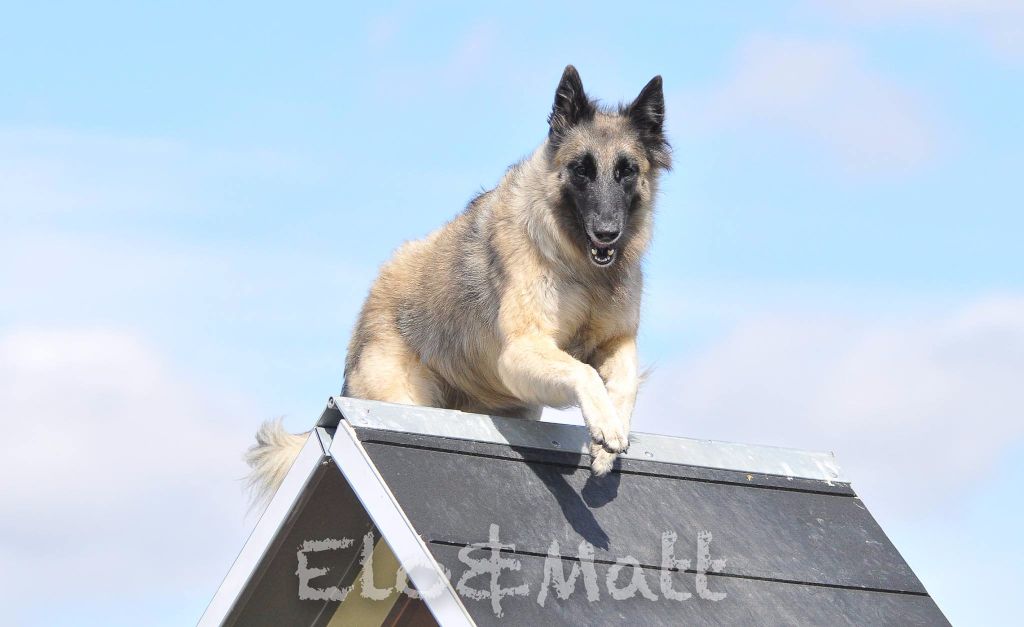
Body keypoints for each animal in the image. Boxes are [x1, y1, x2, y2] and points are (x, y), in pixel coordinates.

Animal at [246, 65, 670, 503]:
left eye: (626, 171)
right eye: (581, 169)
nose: (606, 233)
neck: (582, 269)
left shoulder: (617, 341)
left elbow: (624, 383)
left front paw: (608, 438)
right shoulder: (520, 352)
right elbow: (584, 372)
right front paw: (606, 426)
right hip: (405, 397)